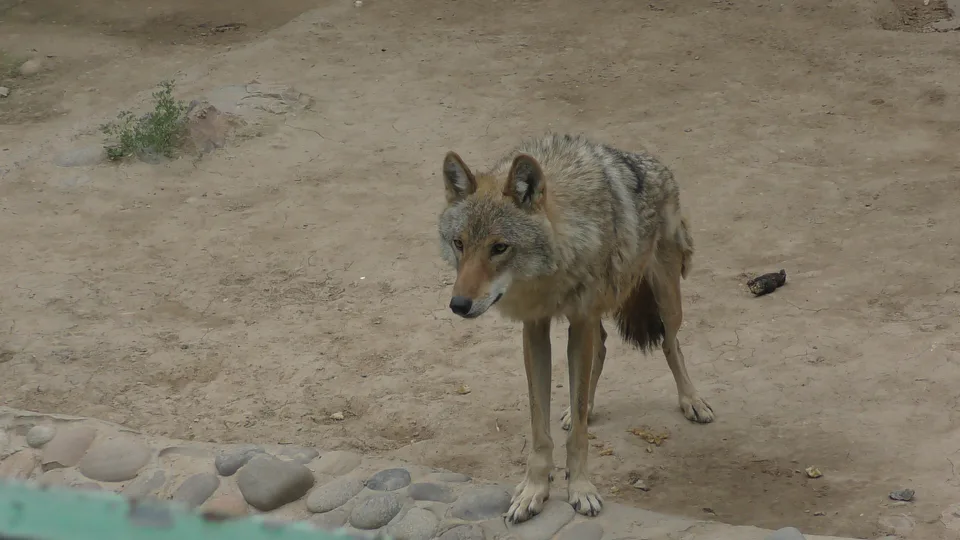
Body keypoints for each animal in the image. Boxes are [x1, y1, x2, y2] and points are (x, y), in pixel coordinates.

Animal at [436, 133, 714, 523]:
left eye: (499, 248)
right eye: (459, 243)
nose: (458, 305)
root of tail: (654, 163)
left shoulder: (579, 319)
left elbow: (579, 433)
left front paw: (580, 489)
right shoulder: (535, 327)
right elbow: (541, 425)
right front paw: (534, 490)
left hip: (666, 301)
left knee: (670, 345)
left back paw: (691, 400)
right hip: (598, 318)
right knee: (602, 349)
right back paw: (586, 406)